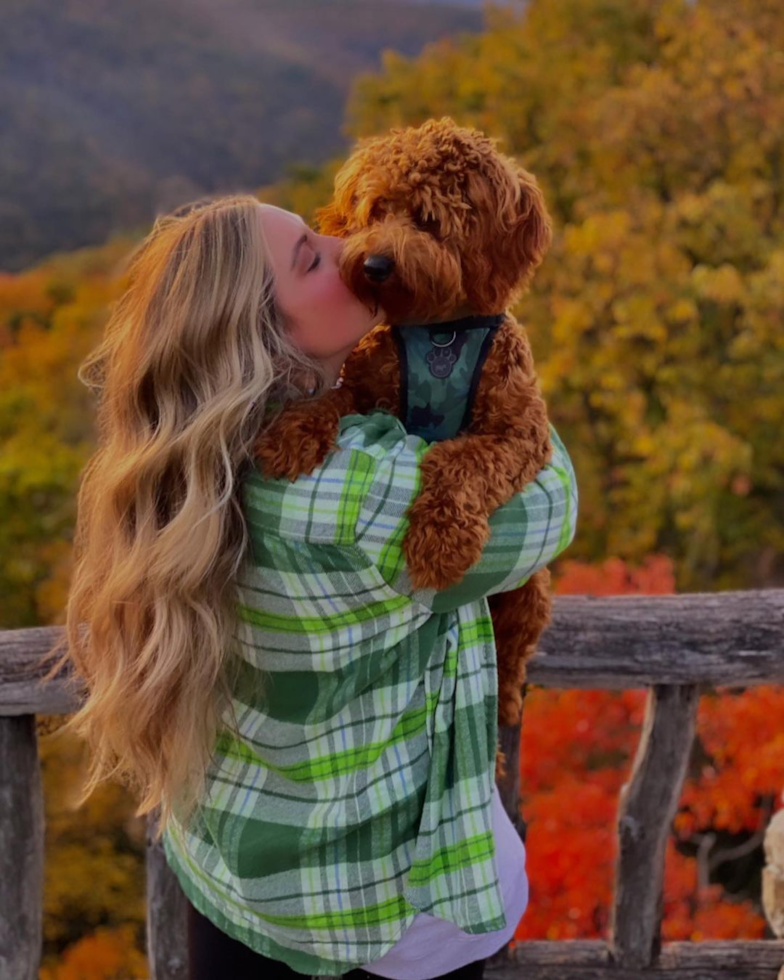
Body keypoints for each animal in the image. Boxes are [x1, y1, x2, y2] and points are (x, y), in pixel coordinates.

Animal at [254, 118, 556, 784]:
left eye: (427, 218)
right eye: (375, 210)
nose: (373, 263)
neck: (439, 331)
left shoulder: (521, 432)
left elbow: (461, 460)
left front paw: (440, 540)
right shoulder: (369, 383)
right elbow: (334, 399)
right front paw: (292, 431)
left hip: (530, 595)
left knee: (512, 662)